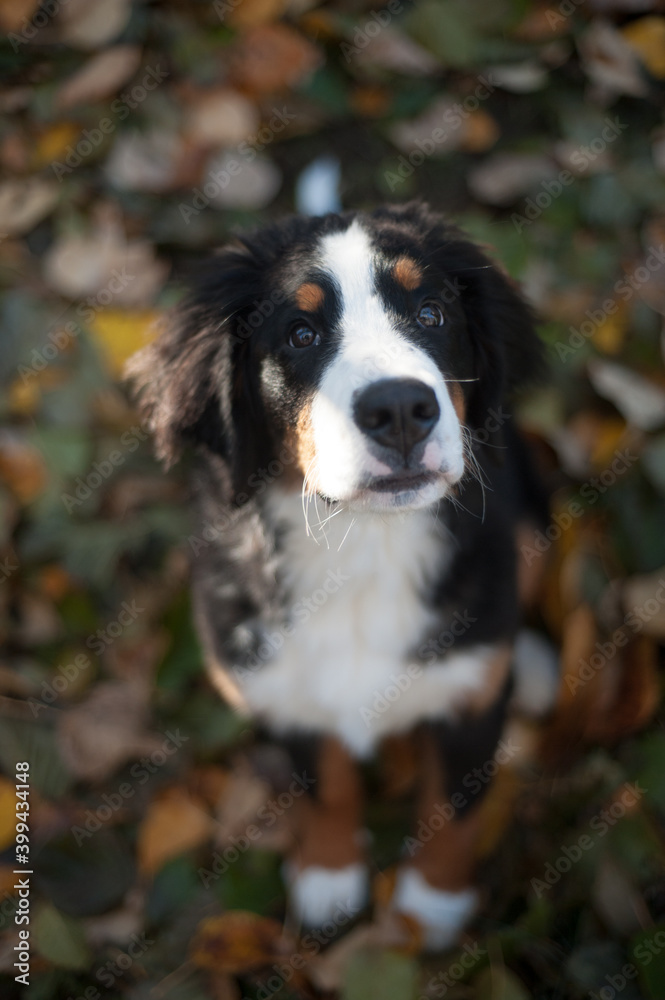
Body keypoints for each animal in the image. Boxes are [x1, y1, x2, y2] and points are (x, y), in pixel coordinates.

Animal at [128, 199, 548, 948]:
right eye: (300, 334)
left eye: (432, 313)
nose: (400, 409)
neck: (361, 550)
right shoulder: (279, 692)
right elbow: (324, 788)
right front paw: (328, 882)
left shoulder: (465, 711)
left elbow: (451, 809)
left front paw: (427, 911)